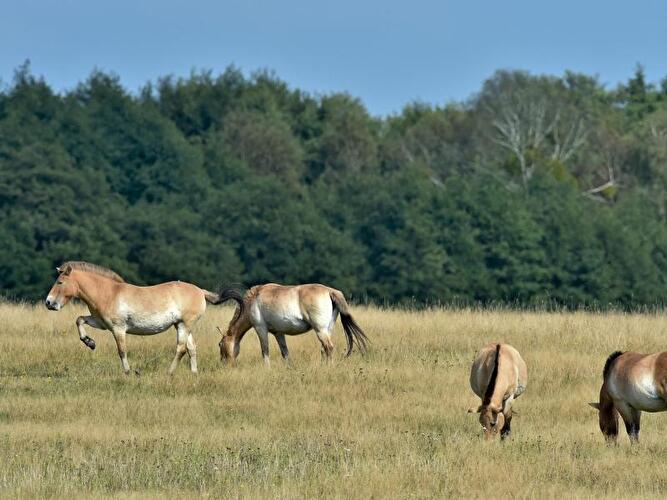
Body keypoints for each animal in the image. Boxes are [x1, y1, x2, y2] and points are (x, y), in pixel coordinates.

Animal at [44, 261, 234, 375]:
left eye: (60, 282)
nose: (48, 302)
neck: (108, 293)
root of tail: (200, 291)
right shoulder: (101, 323)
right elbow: (79, 319)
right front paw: (90, 342)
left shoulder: (118, 329)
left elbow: (121, 351)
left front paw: (128, 372)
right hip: (182, 325)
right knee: (191, 348)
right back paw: (194, 373)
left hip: (184, 326)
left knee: (180, 349)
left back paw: (169, 372)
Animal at [216, 283, 368, 365]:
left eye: (220, 344)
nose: (224, 363)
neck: (253, 299)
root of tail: (330, 291)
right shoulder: (278, 333)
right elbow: (285, 352)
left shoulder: (261, 329)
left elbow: (265, 350)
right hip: (327, 329)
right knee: (324, 349)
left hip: (320, 330)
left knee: (329, 347)